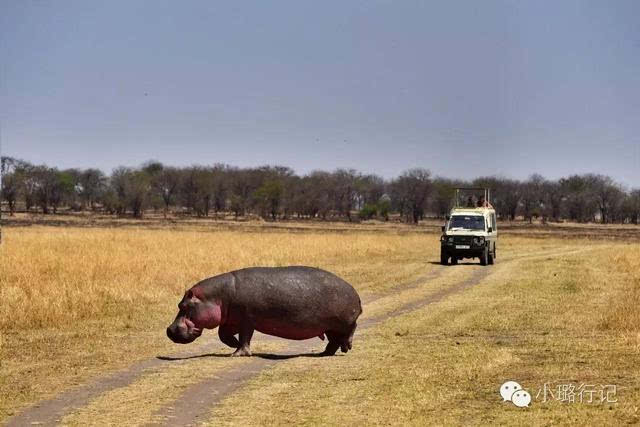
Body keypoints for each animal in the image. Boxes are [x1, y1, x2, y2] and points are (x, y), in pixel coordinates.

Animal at [168, 266, 362, 356]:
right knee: (334, 341)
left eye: (183, 306)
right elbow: (223, 335)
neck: (218, 296)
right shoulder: (231, 320)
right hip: (329, 327)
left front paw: (237, 354)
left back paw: (347, 346)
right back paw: (325, 353)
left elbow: (245, 337)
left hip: (343, 322)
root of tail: (356, 294)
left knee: (351, 329)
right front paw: (233, 346)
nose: (169, 330)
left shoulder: (246, 319)